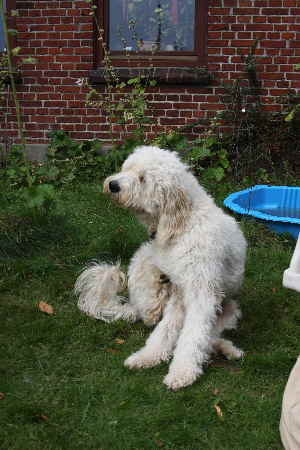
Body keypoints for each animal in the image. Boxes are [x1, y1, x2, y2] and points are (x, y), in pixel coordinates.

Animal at [75, 145, 246, 390]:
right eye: (127, 168)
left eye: (143, 178)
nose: (113, 185)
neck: (182, 225)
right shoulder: (179, 291)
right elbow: (165, 330)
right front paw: (149, 356)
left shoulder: (200, 293)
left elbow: (192, 335)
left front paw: (182, 371)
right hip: (146, 267)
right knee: (153, 317)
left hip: (230, 310)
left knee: (211, 336)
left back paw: (227, 349)